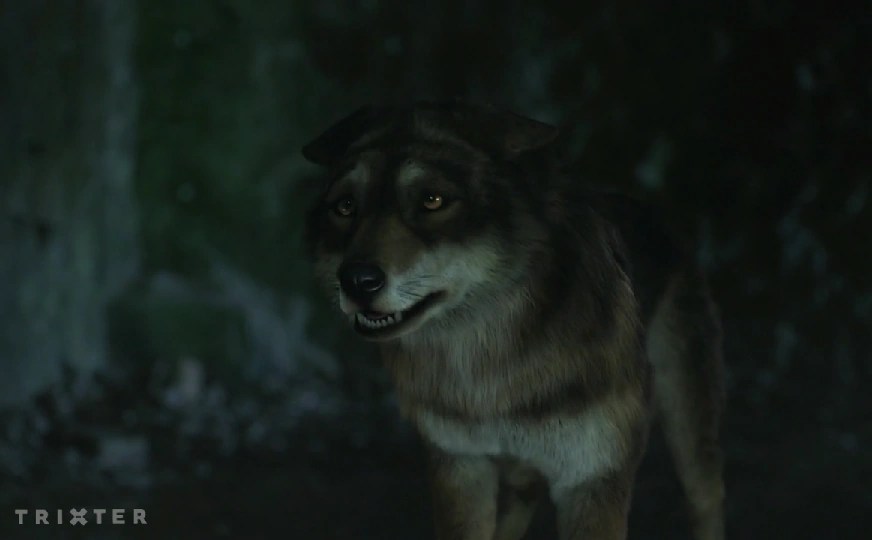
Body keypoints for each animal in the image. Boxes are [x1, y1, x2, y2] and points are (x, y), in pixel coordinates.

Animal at [301, 101, 726, 540]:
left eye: (432, 200)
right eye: (345, 206)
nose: (356, 281)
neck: (488, 365)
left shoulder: (593, 478)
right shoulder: (460, 467)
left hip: (688, 430)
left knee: (707, 498)